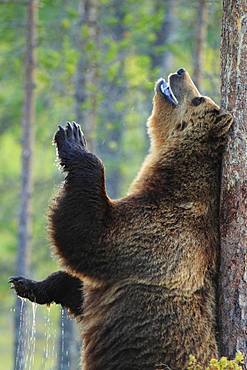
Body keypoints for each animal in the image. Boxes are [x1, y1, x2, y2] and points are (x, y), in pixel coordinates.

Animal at [10, 69, 233, 370]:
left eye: (199, 99)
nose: (179, 72)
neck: (171, 184)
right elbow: (83, 290)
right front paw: (28, 285)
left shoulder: (159, 235)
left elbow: (90, 238)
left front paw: (72, 138)